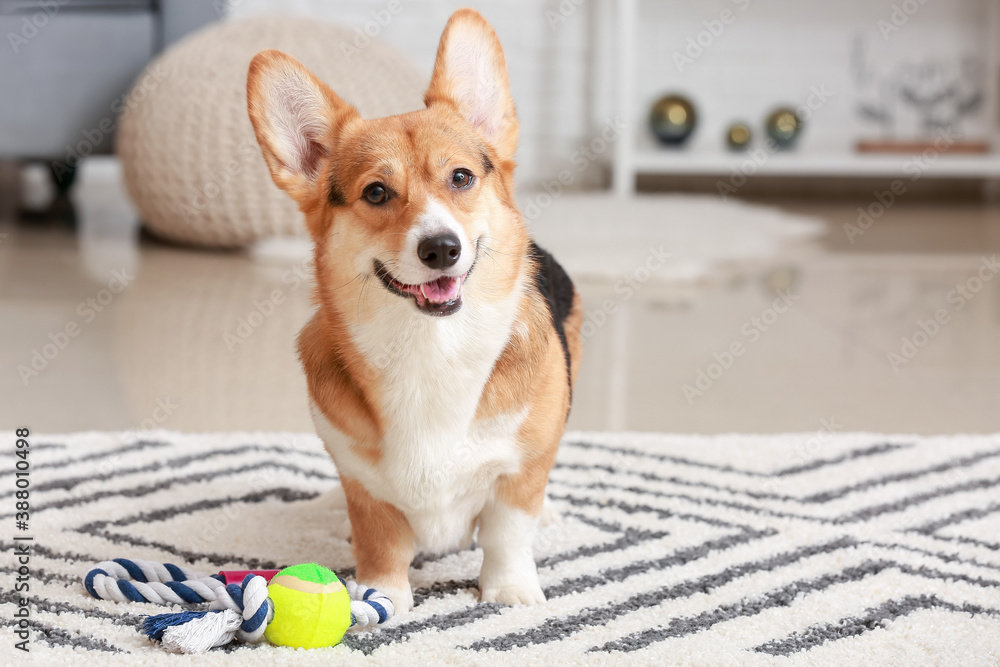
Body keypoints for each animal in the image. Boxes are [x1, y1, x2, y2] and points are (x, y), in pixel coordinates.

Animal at [245, 9, 584, 616]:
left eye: (461, 178)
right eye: (377, 192)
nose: (441, 248)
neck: (429, 349)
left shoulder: (517, 474)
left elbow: (506, 533)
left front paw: (510, 592)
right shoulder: (367, 488)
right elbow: (381, 542)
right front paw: (381, 597)